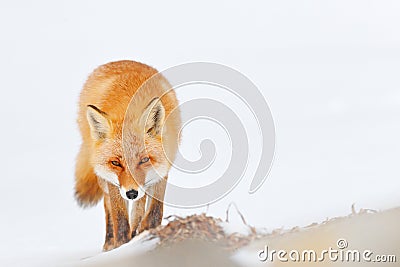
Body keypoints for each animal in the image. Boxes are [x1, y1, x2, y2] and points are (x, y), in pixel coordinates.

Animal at [74, 60, 180, 251]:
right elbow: (120, 220)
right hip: (104, 179)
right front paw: (121, 245)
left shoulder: (161, 172)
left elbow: (154, 212)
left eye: (144, 160)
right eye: (116, 163)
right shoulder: (114, 183)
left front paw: (144, 232)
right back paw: (109, 242)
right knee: (108, 206)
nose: (131, 193)